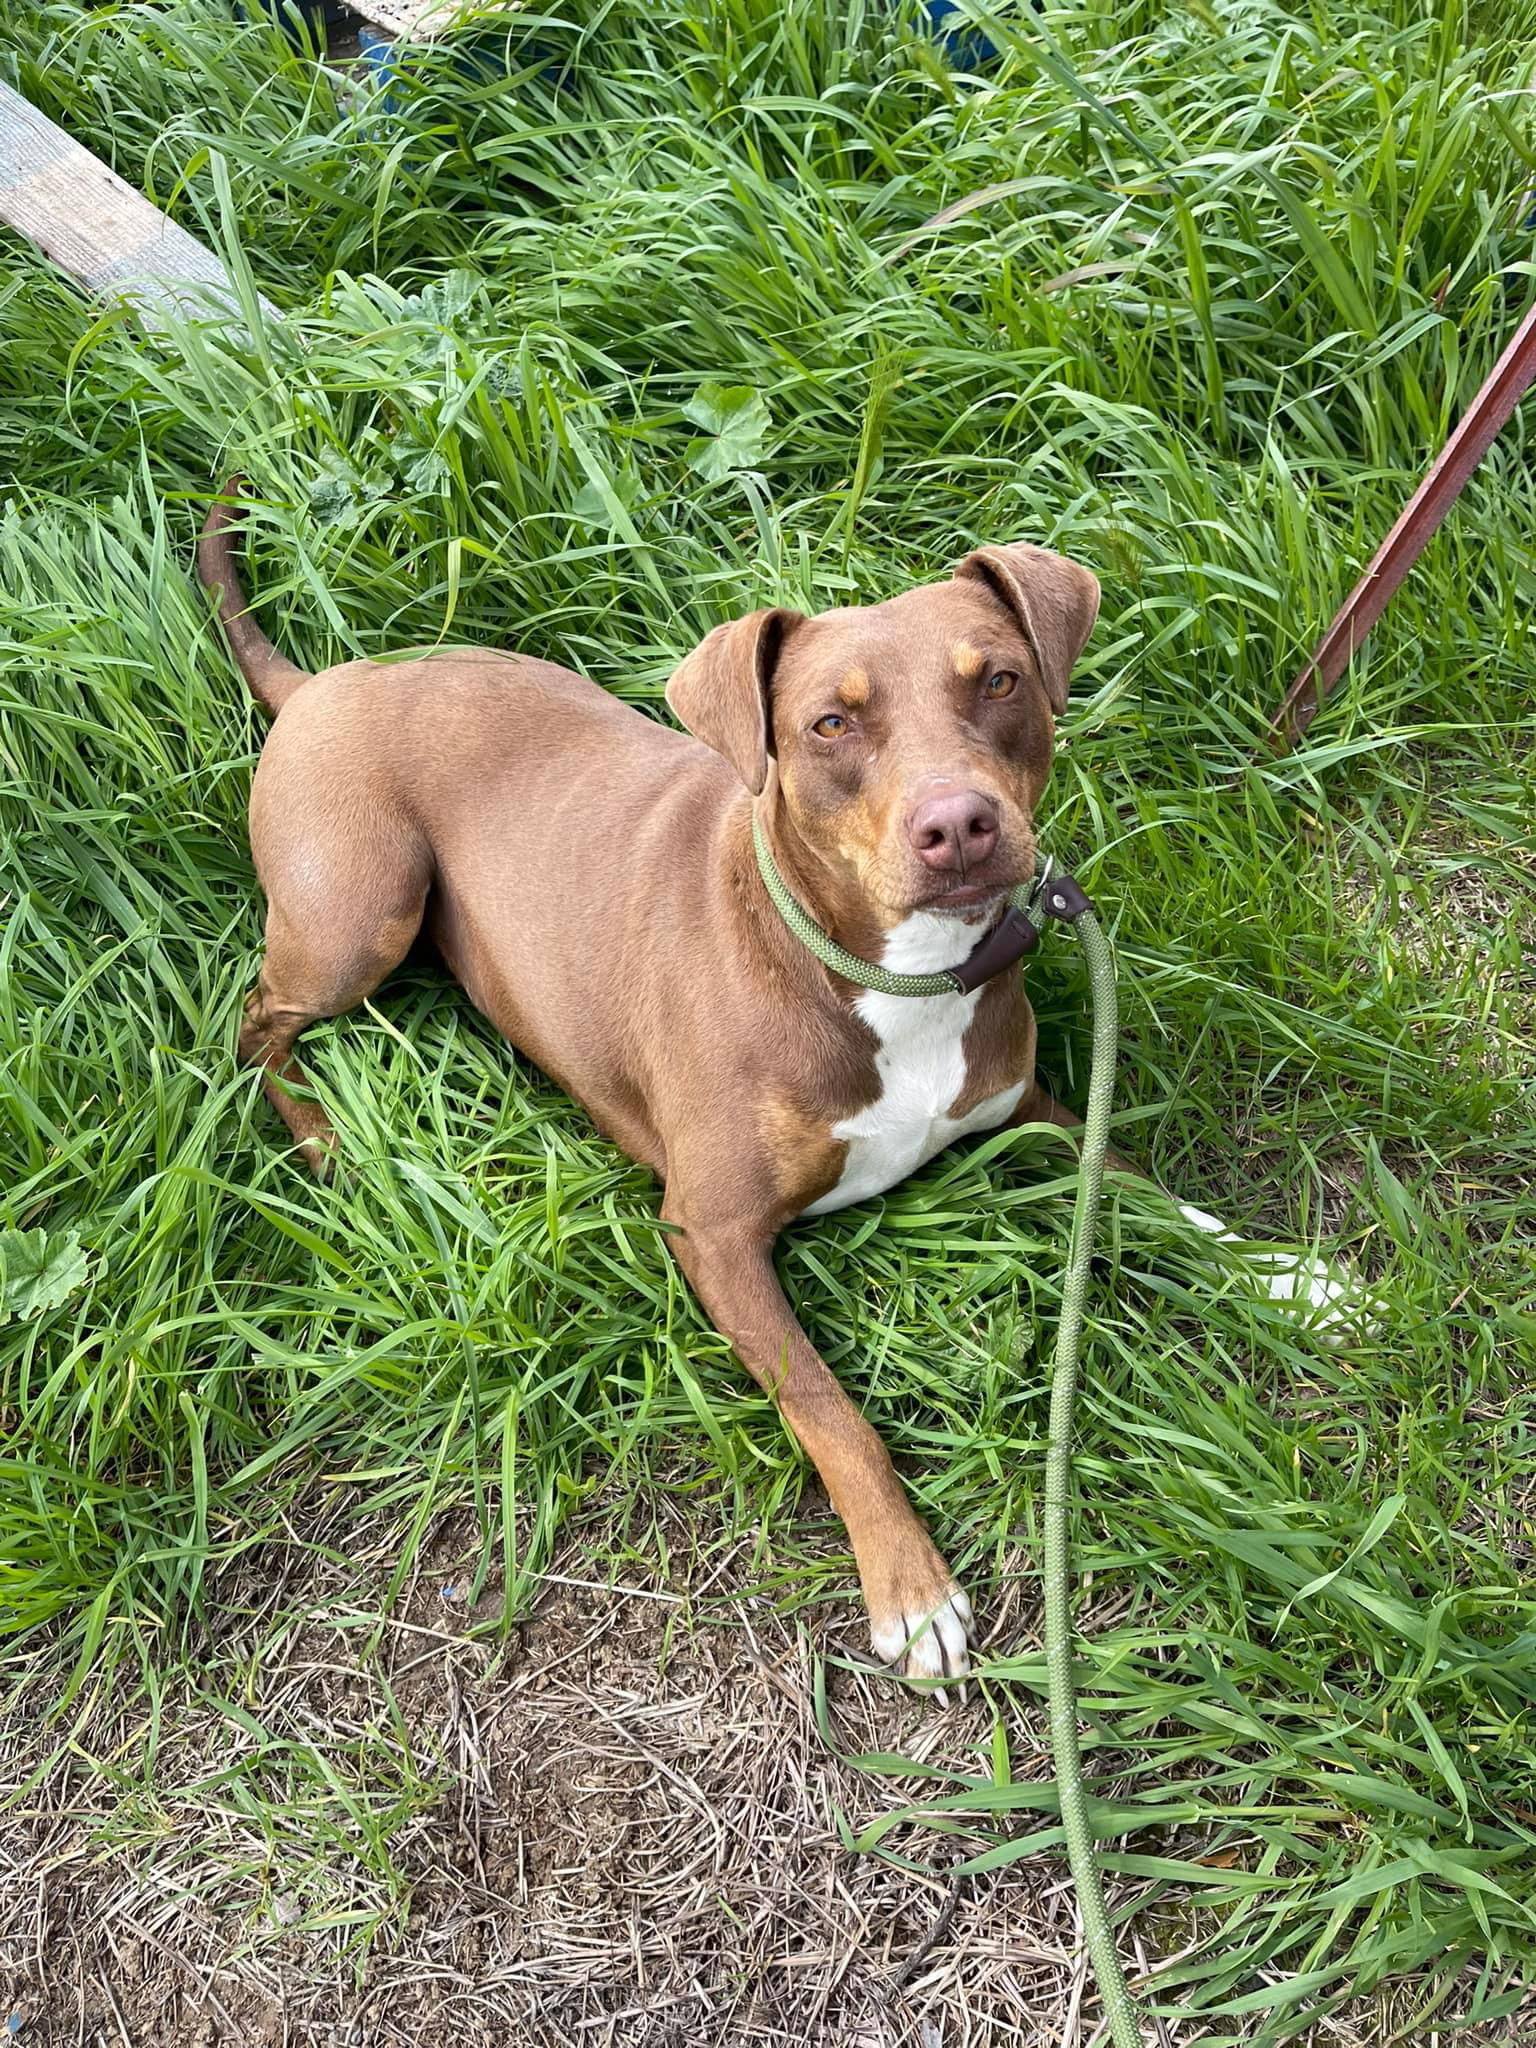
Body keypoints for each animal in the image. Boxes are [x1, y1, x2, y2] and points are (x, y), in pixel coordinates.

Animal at [198, 487, 1105, 1687]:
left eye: (998, 680)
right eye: (830, 724)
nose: (958, 824)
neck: (885, 972)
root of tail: (319, 684)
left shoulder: (1031, 1112)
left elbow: (1147, 1190)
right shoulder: (712, 1234)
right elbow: (832, 1412)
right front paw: (911, 1591)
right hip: (360, 911)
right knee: (256, 1025)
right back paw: (321, 1138)